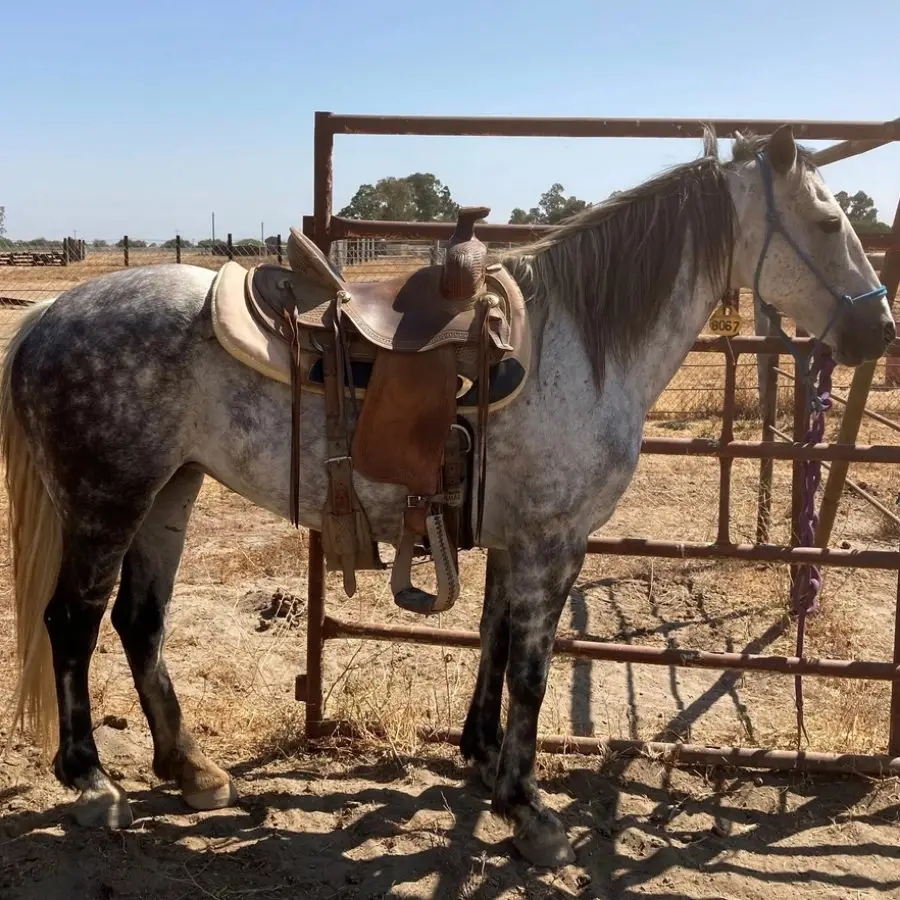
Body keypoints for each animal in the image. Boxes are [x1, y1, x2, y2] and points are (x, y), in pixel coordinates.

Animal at [1, 125, 893, 868]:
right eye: (825, 224)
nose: (877, 331)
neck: (585, 344)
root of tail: (48, 312)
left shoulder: (513, 537)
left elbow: (494, 641)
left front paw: (484, 759)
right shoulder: (552, 541)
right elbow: (533, 670)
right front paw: (531, 811)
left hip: (170, 493)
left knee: (138, 621)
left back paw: (191, 770)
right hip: (107, 501)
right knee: (71, 624)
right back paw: (91, 784)